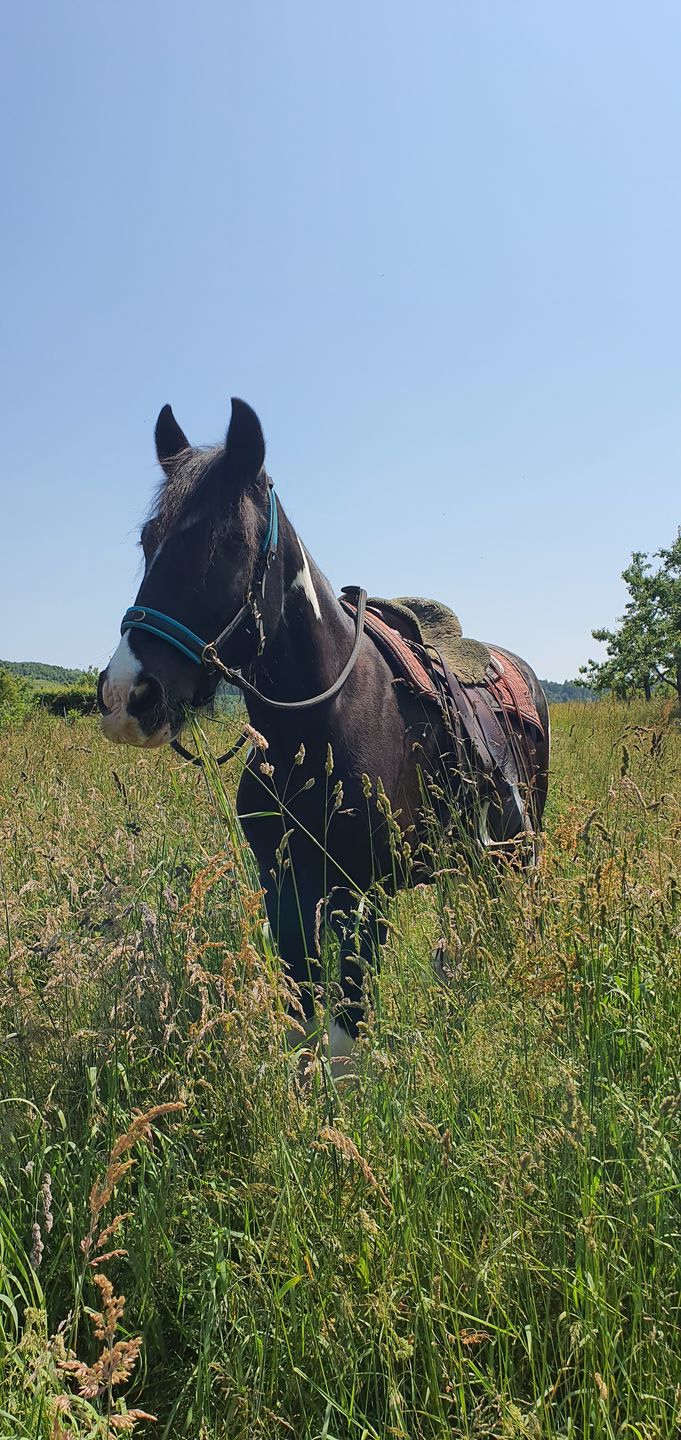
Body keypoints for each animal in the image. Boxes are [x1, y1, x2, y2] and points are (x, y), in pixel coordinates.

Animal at [97, 398, 550, 1062]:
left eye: (230, 541)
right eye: (147, 539)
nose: (127, 694)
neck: (314, 731)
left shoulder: (360, 899)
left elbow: (344, 1038)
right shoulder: (285, 889)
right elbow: (301, 1020)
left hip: (518, 843)